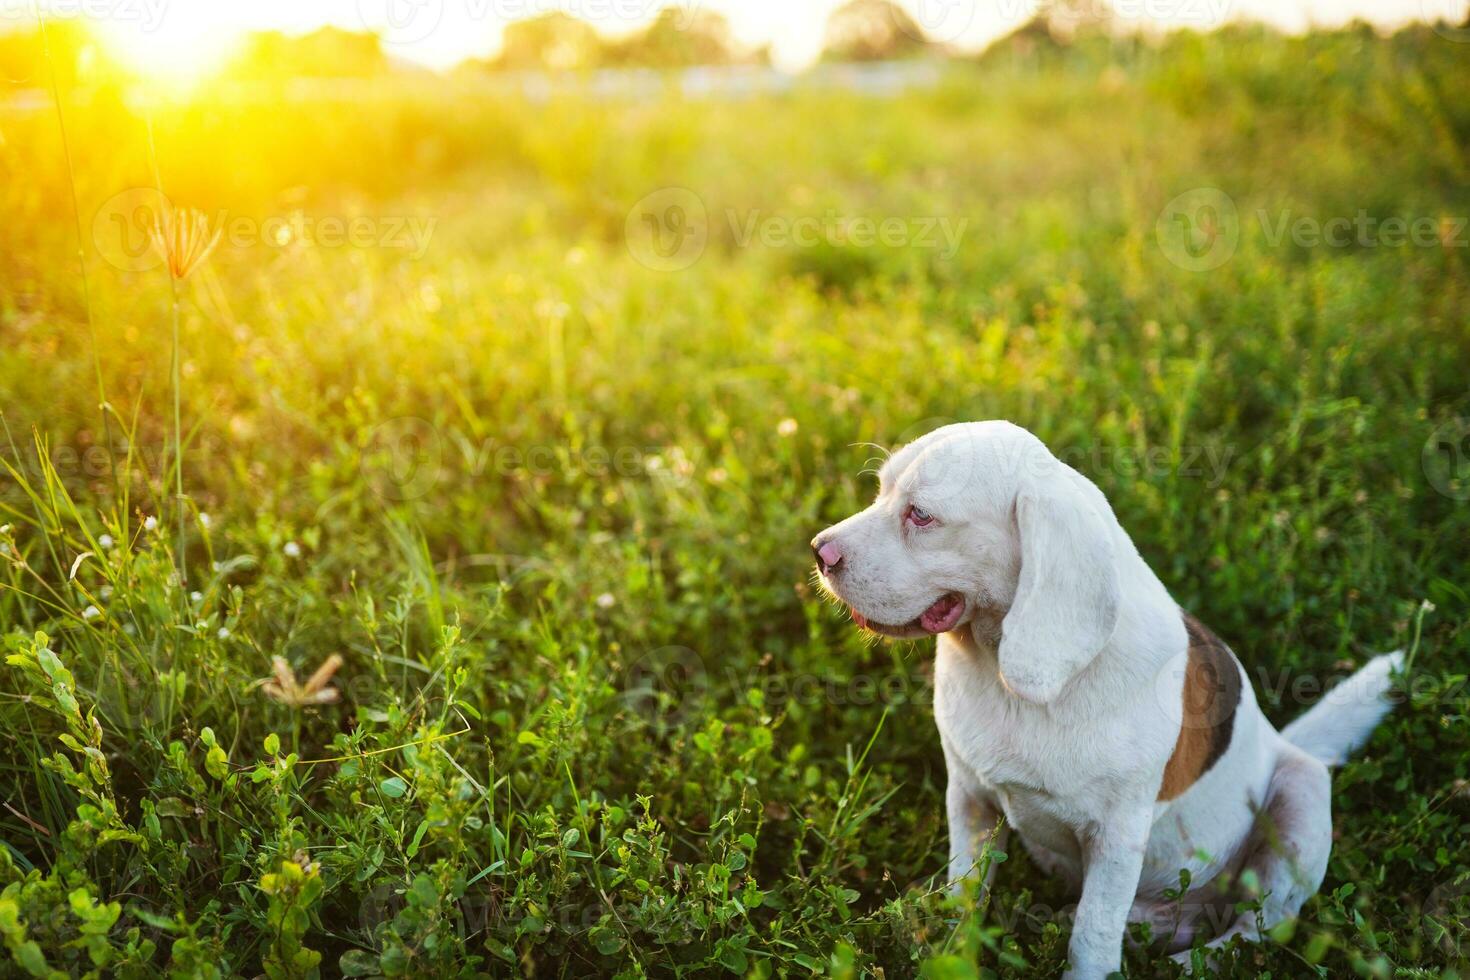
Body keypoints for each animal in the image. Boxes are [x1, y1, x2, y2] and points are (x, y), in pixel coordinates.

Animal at [817, 423, 1399, 980]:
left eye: (921, 515)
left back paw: (1194, 964)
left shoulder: (1116, 839)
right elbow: (966, 896)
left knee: (1256, 930)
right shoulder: (969, 800)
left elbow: (1092, 938)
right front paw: (951, 952)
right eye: (880, 491)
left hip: (1301, 797)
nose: (819, 552)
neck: (1004, 677)